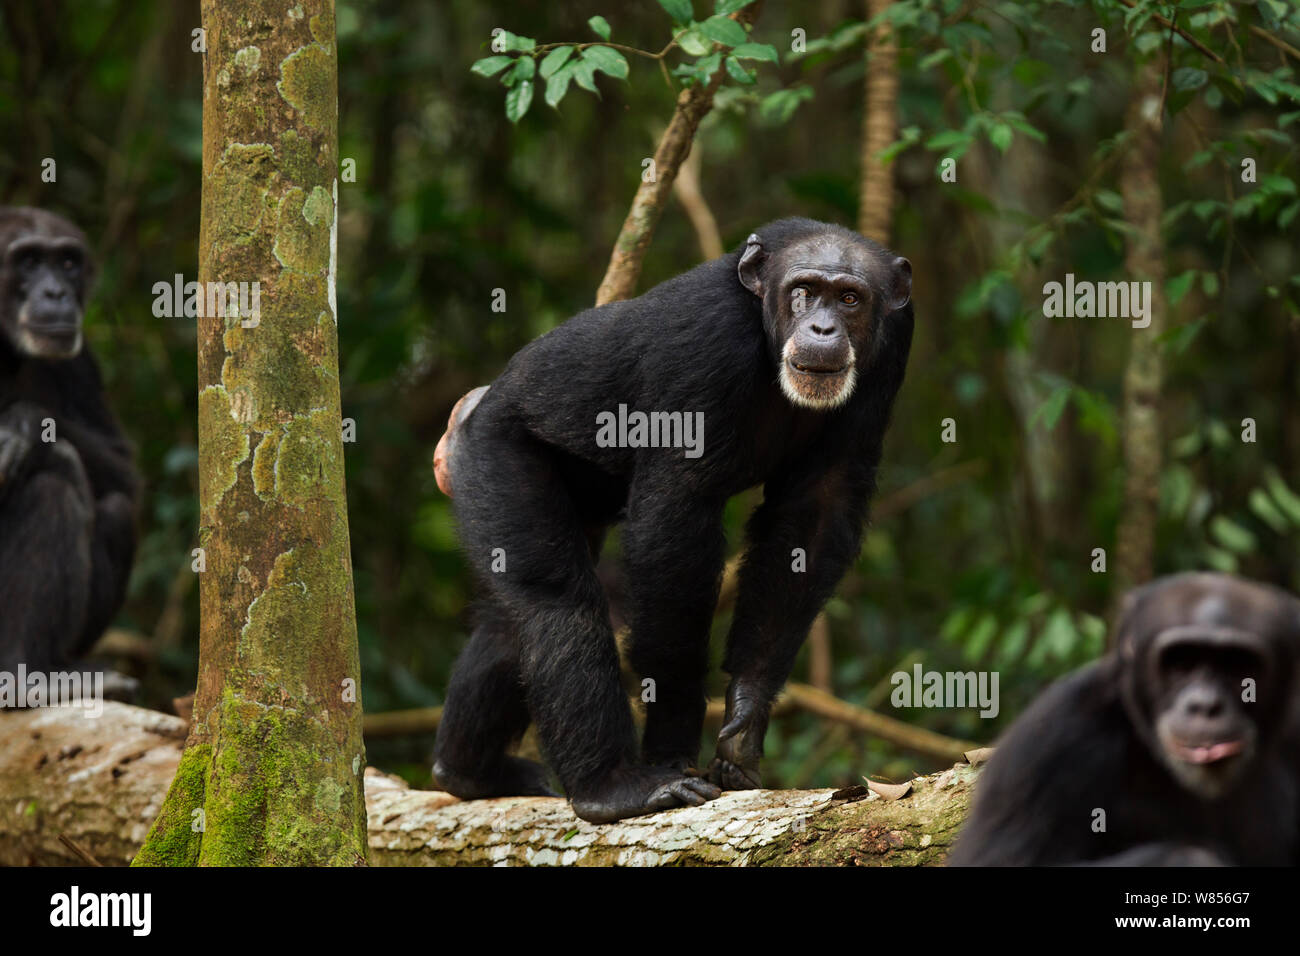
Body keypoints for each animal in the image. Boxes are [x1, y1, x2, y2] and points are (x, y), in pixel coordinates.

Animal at [0, 206, 139, 676]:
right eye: (28, 261)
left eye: (66, 263)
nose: (56, 292)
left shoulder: (82, 362)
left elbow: (123, 470)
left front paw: (24, 423)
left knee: (102, 501)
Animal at [434, 217, 915, 822]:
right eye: (803, 290)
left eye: (851, 298)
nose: (823, 326)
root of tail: (469, 410)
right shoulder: (706, 341)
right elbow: (674, 516)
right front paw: (671, 741)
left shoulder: (895, 346)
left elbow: (816, 511)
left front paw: (745, 719)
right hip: (493, 452)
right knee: (554, 602)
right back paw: (609, 786)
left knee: (506, 621)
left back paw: (469, 772)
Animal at [951, 572, 1300, 868]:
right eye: (1181, 663)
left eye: (1237, 666)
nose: (1205, 705)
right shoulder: (1049, 741)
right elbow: (999, 859)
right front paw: (1192, 860)